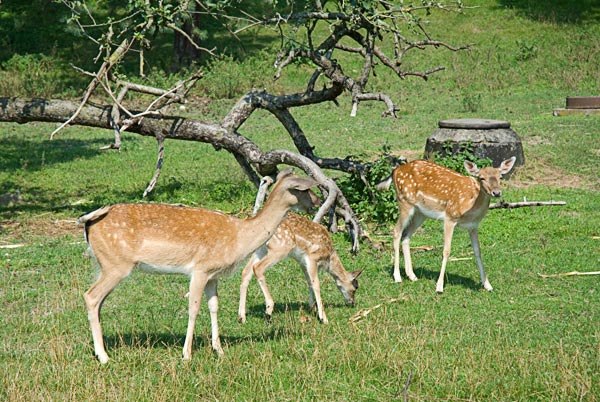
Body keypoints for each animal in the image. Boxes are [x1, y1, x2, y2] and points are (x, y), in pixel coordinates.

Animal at [78, 170, 318, 364]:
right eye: (305, 189)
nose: (315, 201)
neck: (239, 237)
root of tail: (88, 222)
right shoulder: (200, 269)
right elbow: (193, 308)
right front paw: (186, 354)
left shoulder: (213, 275)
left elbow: (214, 306)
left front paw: (219, 350)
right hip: (115, 265)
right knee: (91, 296)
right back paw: (104, 357)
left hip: (104, 265)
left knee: (97, 301)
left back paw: (102, 350)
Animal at [380, 157, 516, 292]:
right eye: (481, 178)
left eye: (500, 177)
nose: (497, 192)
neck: (470, 206)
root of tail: (396, 170)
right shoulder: (449, 218)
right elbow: (446, 250)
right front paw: (439, 287)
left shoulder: (473, 226)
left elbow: (477, 251)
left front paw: (488, 285)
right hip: (404, 202)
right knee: (396, 232)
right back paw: (397, 277)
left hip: (420, 213)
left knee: (406, 235)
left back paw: (412, 275)